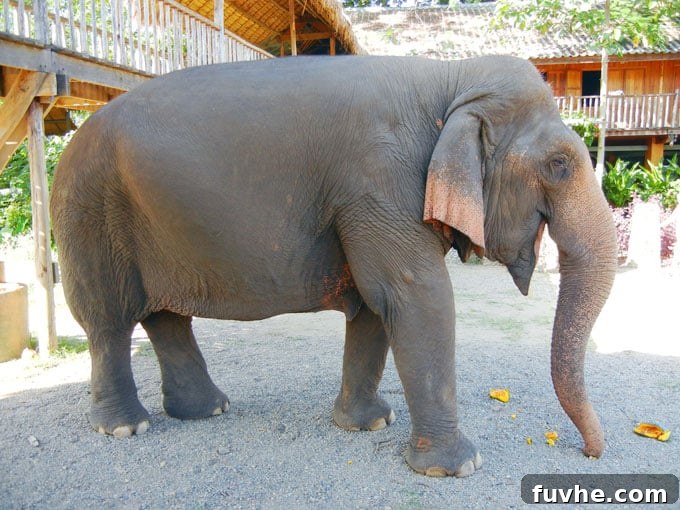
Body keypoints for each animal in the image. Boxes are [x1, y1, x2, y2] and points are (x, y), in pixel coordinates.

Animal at [50, 55, 617, 478]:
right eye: (559, 166)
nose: (588, 453)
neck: (451, 78)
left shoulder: (366, 201)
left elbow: (375, 305)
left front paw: (367, 425)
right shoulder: (380, 184)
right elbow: (417, 296)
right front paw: (457, 467)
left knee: (166, 317)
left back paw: (206, 410)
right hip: (88, 212)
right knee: (106, 321)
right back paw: (128, 427)